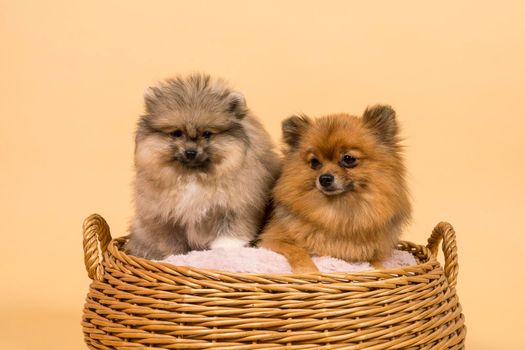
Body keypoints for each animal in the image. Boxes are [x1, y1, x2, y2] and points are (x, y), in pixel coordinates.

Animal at [125, 74, 280, 260]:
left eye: (207, 134)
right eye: (177, 133)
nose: (190, 152)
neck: (193, 176)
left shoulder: (234, 208)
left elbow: (230, 235)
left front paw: (226, 252)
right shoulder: (166, 217)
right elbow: (171, 244)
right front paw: (174, 257)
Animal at [256, 104, 410, 274]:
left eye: (348, 159)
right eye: (315, 162)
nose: (324, 178)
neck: (337, 211)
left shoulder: (364, 252)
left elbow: (375, 262)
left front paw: (385, 271)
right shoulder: (270, 240)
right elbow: (298, 250)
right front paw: (308, 270)